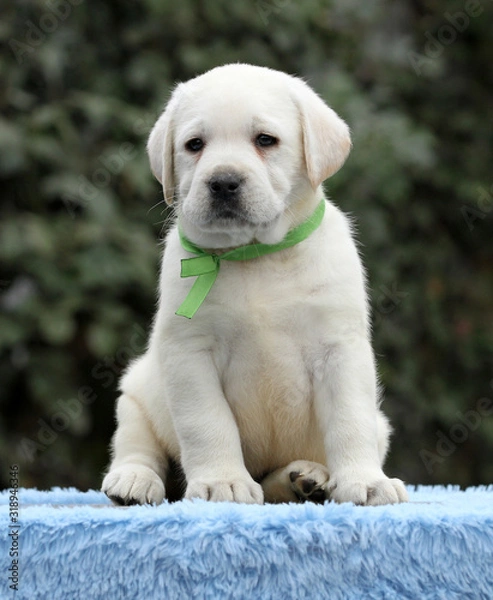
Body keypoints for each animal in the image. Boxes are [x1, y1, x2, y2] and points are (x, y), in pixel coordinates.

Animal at [101, 64, 408, 506]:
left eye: (265, 140)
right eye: (194, 145)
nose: (223, 181)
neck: (255, 256)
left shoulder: (340, 348)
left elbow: (351, 420)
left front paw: (365, 481)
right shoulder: (190, 352)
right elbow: (207, 423)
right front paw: (222, 482)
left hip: (377, 426)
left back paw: (304, 478)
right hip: (136, 395)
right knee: (137, 446)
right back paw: (133, 480)